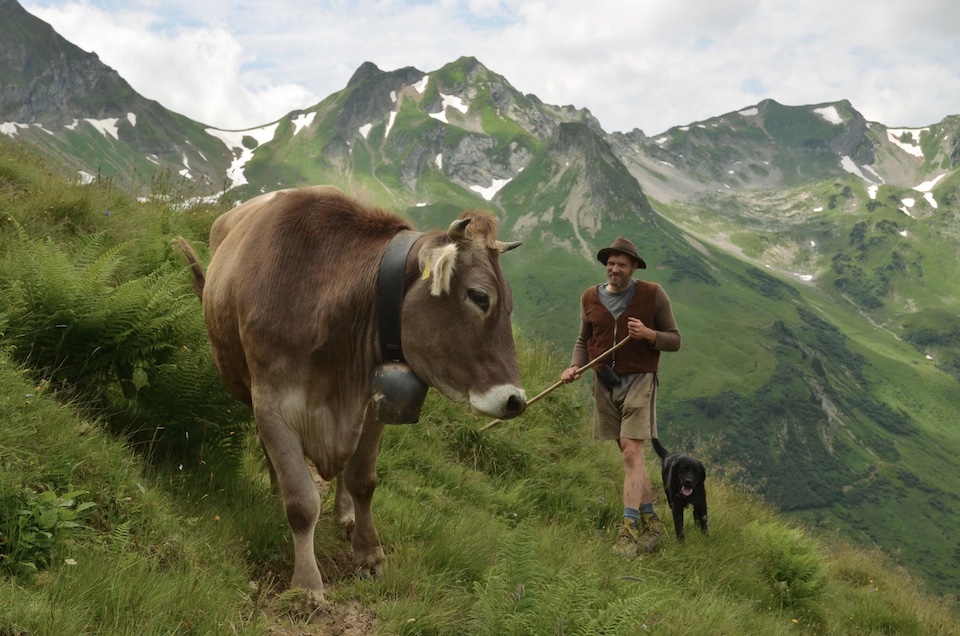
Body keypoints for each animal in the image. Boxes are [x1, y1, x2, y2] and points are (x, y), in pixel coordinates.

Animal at [176, 185, 528, 600]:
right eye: (478, 296)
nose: (515, 400)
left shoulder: (370, 405)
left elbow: (363, 480)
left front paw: (369, 553)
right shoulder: (270, 402)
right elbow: (301, 501)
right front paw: (307, 584)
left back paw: (344, 515)